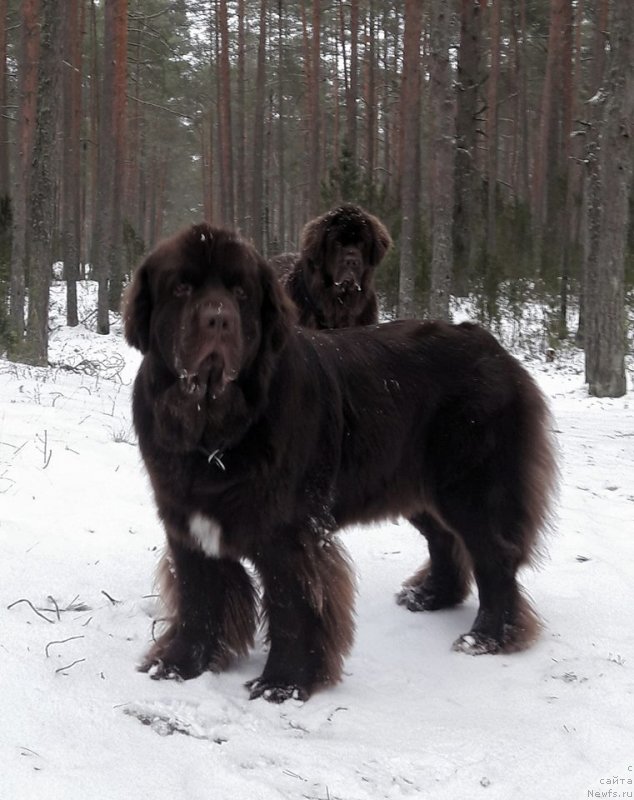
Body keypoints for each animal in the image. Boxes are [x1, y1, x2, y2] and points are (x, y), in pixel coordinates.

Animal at [122, 222, 552, 704]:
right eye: (181, 287)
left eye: (240, 292)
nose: (218, 318)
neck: (213, 429)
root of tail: (494, 348)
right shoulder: (187, 524)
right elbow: (198, 597)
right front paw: (179, 664)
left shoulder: (290, 535)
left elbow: (292, 605)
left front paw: (282, 683)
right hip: (412, 482)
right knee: (444, 539)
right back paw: (430, 596)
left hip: (469, 485)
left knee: (495, 554)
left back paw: (489, 637)